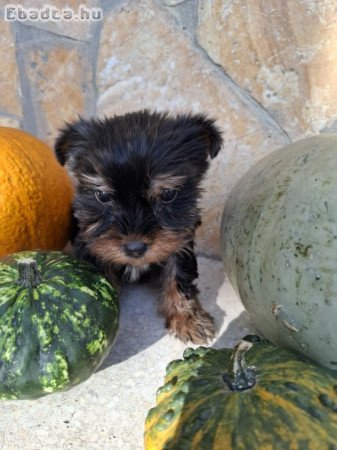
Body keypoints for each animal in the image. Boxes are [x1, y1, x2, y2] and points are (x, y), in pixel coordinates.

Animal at [55, 110, 222, 344]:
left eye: (168, 194)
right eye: (103, 196)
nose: (135, 249)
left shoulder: (180, 241)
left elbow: (180, 277)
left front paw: (189, 319)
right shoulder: (91, 245)